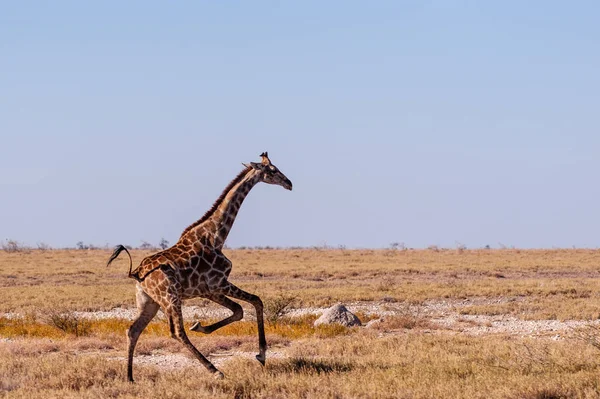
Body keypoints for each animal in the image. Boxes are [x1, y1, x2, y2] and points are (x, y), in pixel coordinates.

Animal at [108, 152, 296, 382]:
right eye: (272, 170)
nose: (289, 183)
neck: (215, 237)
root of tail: (137, 274)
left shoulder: (209, 290)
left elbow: (240, 310)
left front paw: (200, 326)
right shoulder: (219, 284)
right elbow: (256, 302)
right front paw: (261, 355)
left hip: (148, 301)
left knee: (133, 330)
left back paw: (130, 377)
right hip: (170, 297)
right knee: (177, 332)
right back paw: (215, 370)